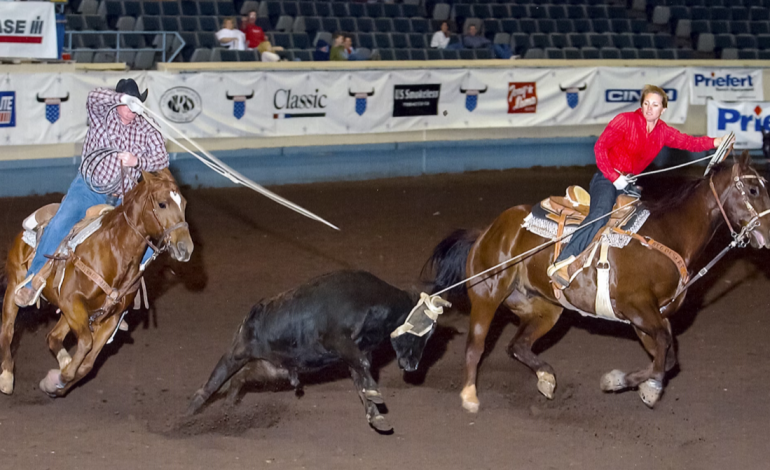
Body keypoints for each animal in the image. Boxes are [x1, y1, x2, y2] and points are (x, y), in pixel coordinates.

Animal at [0, 169, 192, 396]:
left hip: (70, 314)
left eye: (184, 204)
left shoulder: (110, 317)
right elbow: (85, 343)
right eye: (162, 204)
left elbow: (88, 364)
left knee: (53, 336)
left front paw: (57, 382)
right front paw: (61, 376)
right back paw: (6, 377)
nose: (186, 248)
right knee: (8, 331)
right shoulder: (71, 302)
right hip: (15, 286)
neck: (113, 251)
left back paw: (62, 362)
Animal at [426, 153, 768, 412]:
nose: (768, 230)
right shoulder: (637, 308)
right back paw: (470, 397)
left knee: (517, 345)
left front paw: (642, 386)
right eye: (753, 191)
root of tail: (487, 231)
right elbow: (663, 346)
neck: (668, 234)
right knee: (476, 346)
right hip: (487, 294)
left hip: (544, 308)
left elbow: (667, 355)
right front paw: (629, 383)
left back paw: (546, 379)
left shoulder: (653, 316)